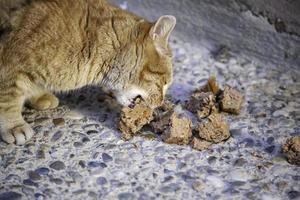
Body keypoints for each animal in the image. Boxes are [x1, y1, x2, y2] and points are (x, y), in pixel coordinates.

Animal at [0, 0, 176, 145]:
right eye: (164, 82)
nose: (160, 103)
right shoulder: (10, 66)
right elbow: (8, 98)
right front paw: (14, 125)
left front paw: (37, 94)